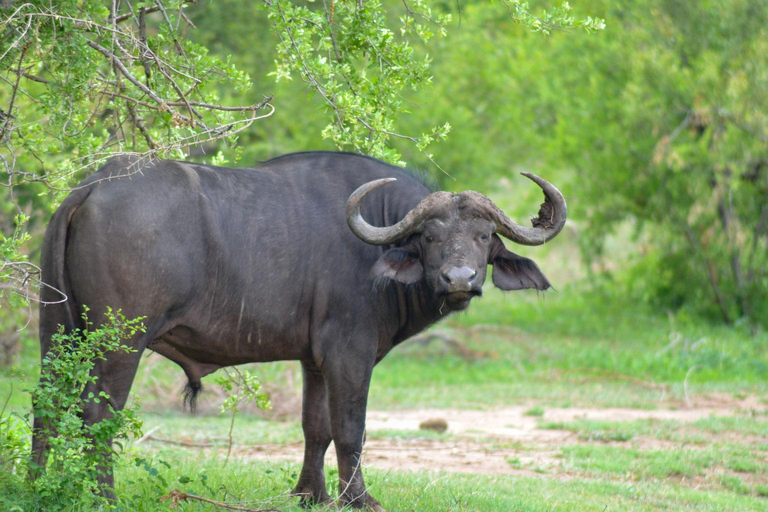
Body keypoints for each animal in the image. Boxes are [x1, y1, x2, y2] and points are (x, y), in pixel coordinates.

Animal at [33, 150, 568, 510]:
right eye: (431, 236)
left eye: (483, 236)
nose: (460, 280)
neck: (377, 242)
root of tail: (91, 187)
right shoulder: (349, 353)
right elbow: (350, 428)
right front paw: (359, 499)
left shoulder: (314, 359)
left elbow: (317, 427)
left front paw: (310, 493)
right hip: (120, 340)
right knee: (99, 413)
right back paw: (103, 497)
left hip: (56, 331)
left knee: (45, 405)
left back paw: (37, 483)